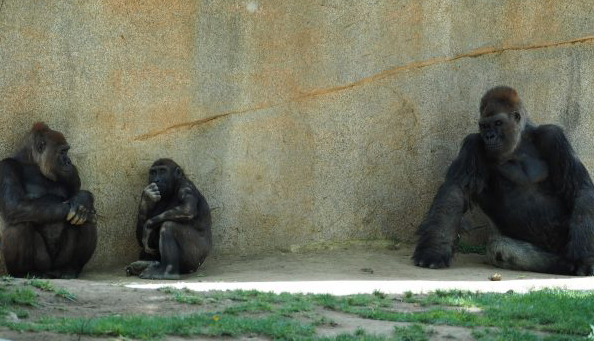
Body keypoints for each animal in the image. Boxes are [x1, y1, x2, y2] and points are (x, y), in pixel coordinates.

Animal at [0, 121, 96, 276]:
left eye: (67, 151)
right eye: (62, 152)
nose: (68, 161)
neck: (32, 162)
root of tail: (51, 272)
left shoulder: (72, 174)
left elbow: (76, 195)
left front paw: (84, 199)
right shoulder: (5, 167)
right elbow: (14, 205)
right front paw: (83, 201)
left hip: (58, 263)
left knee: (88, 218)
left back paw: (70, 268)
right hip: (43, 264)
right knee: (20, 223)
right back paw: (24, 272)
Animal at [412, 86, 592, 274]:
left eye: (498, 123)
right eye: (484, 126)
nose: (489, 136)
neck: (518, 145)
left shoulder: (552, 136)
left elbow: (580, 188)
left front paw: (582, 254)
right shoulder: (473, 143)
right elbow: (455, 190)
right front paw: (434, 249)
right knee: (500, 248)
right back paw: (561, 264)